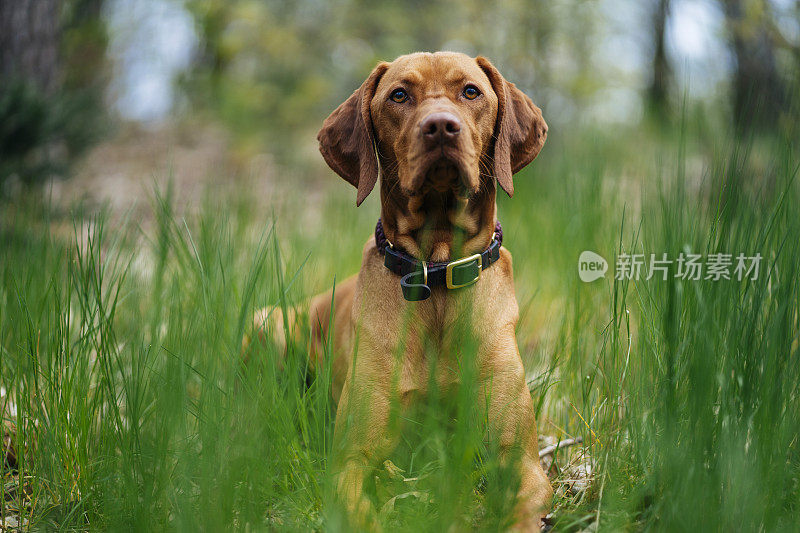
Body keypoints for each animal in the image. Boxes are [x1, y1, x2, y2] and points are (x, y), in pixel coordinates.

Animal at [250, 52, 552, 528]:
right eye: (399, 95)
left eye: (471, 91)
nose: (441, 126)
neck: (437, 271)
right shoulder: (351, 460)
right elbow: (360, 511)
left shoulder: (520, 457)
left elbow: (522, 505)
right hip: (268, 323)